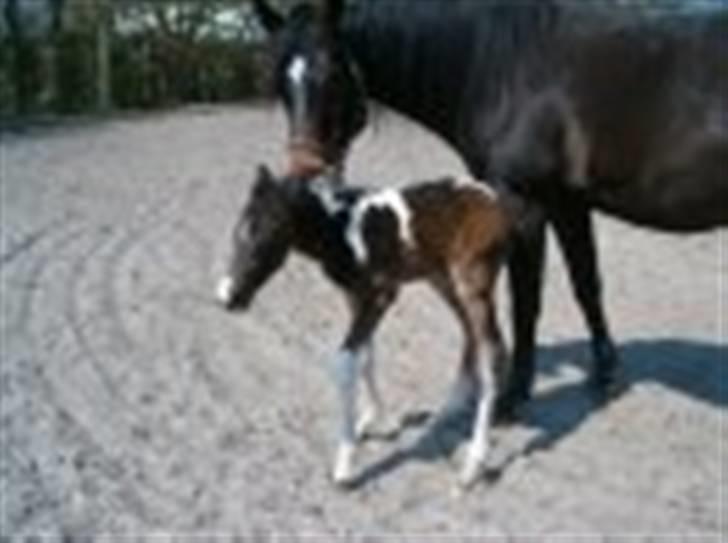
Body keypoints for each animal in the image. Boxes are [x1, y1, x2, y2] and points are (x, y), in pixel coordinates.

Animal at [217, 164, 513, 487]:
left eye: (269, 233)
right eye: (236, 231)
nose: (228, 297)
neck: (340, 231)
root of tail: (491, 197)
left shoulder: (382, 295)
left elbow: (345, 363)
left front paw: (345, 462)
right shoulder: (355, 296)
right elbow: (366, 356)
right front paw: (380, 420)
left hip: (473, 283)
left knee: (493, 351)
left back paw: (473, 465)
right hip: (442, 278)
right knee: (468, 330)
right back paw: (447, 412)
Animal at [251, 0, 728, 416]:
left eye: (333, 74)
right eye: (281, 85)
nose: (306, 177)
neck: (504, 67)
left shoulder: (523, 203)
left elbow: (526, 300)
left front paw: (511, 398)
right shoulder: (567, 203)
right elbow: (586, 285)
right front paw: (604, 375)